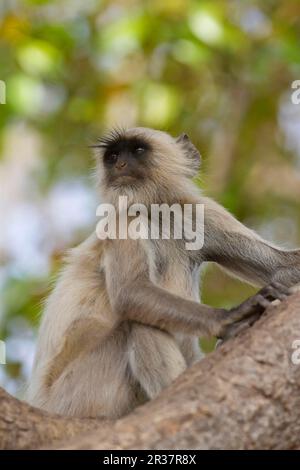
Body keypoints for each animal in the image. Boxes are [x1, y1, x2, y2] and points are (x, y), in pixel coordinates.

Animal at [27, 127, 298, 418]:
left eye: (137, 151)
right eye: (113, 156)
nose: (120, 166)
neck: (156, 214)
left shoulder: (198, 210)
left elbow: (281, 267)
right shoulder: (124, 222)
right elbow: (130, 293)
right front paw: (229, 318)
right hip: (79, 396)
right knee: (135, 320)